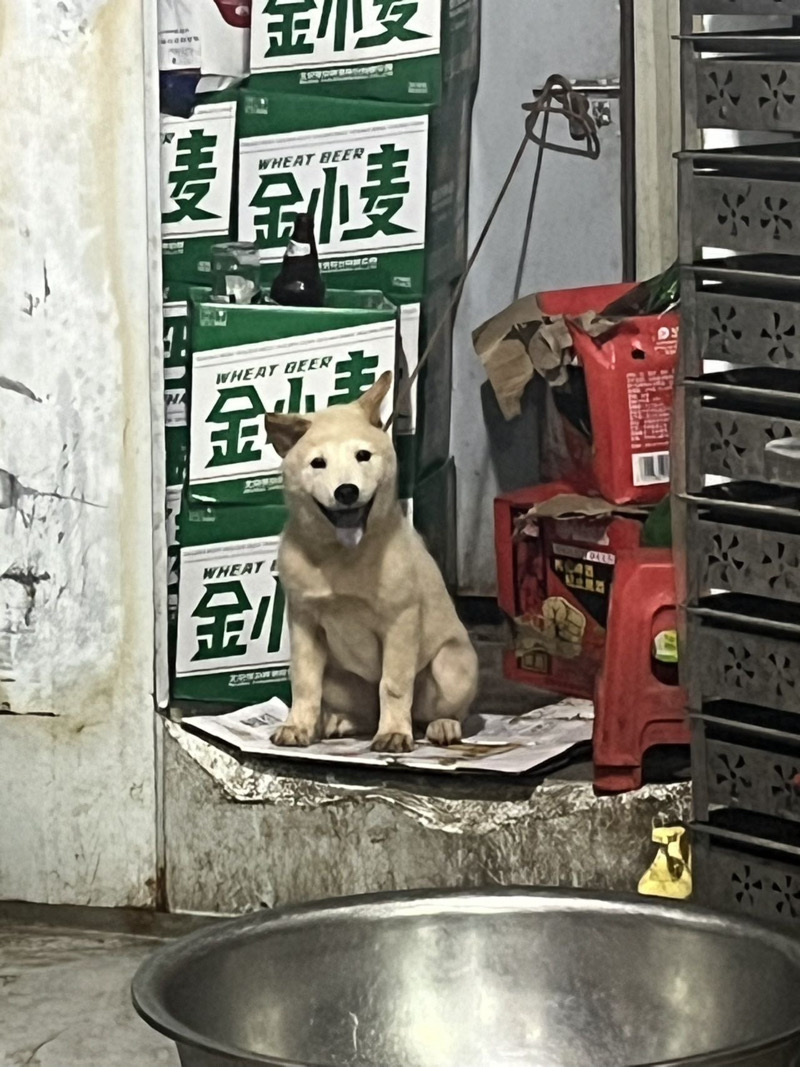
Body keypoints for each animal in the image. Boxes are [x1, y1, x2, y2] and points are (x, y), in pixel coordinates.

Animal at [266, 371, 480, 755]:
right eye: (317, 463)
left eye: (363, 455)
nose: (346, 491)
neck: (342, 556)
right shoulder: (305, 622)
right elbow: (304, 682)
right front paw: (298, 725)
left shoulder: (400, 622)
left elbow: (393, 684)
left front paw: (393, 733)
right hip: (339, 678)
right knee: (360, 712)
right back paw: (332, 723)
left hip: (451, 665)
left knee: (444, 711)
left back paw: (442, 726)